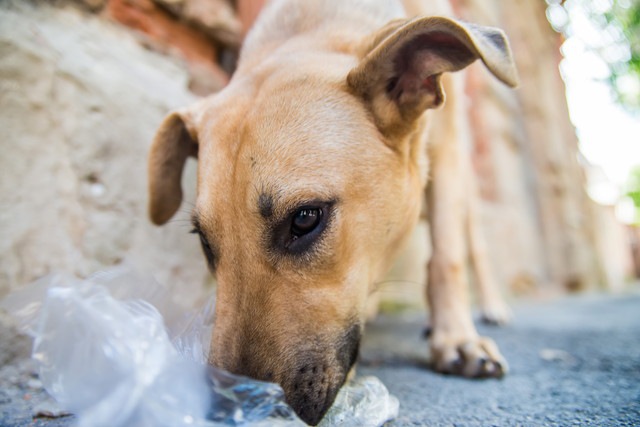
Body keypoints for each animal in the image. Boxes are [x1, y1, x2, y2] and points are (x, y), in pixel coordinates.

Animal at [148, 0, 516, 424]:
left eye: (305, 218)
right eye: (205, 242)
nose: (237, 406)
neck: (317, 22)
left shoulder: (447, 153)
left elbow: (447, 260)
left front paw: (457, 339)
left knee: (472, 248)